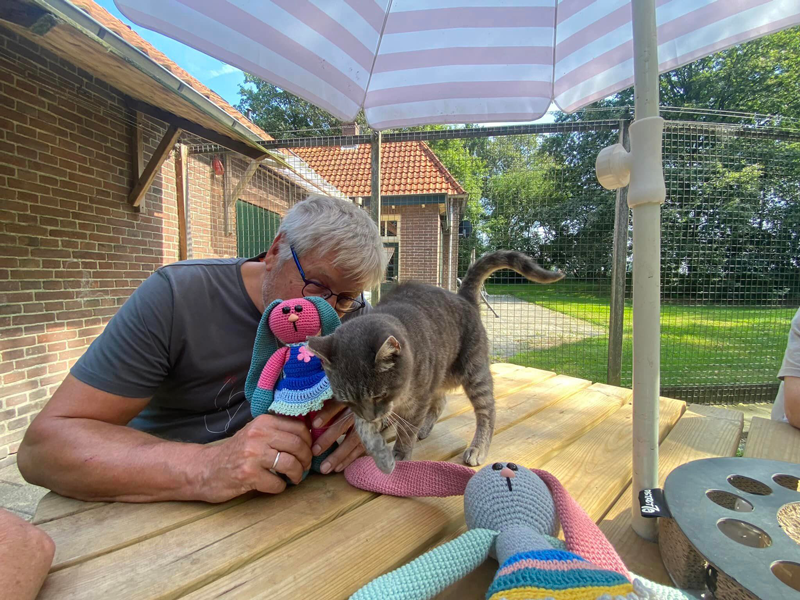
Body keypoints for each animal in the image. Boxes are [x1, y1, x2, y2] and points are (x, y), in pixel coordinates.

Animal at [307, 251, 564, 474]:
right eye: (347, 400)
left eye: (379, 395)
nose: (370, 417)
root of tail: (462, 296)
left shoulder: (418, 398)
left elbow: (407, 427)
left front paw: (400, 451)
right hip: (442, 372)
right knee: (441, 401)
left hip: (473, 372)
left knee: (487, 411)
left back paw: (478, 447)